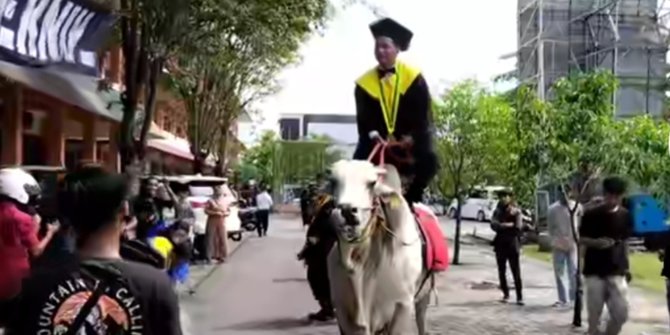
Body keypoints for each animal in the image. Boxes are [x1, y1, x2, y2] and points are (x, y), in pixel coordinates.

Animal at [328, 160, 434, 335]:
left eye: (372, 183)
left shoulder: (403, 304)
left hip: (424, 296)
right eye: (333, 181)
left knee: (421, 321)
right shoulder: (342, 310)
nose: (347, 211)